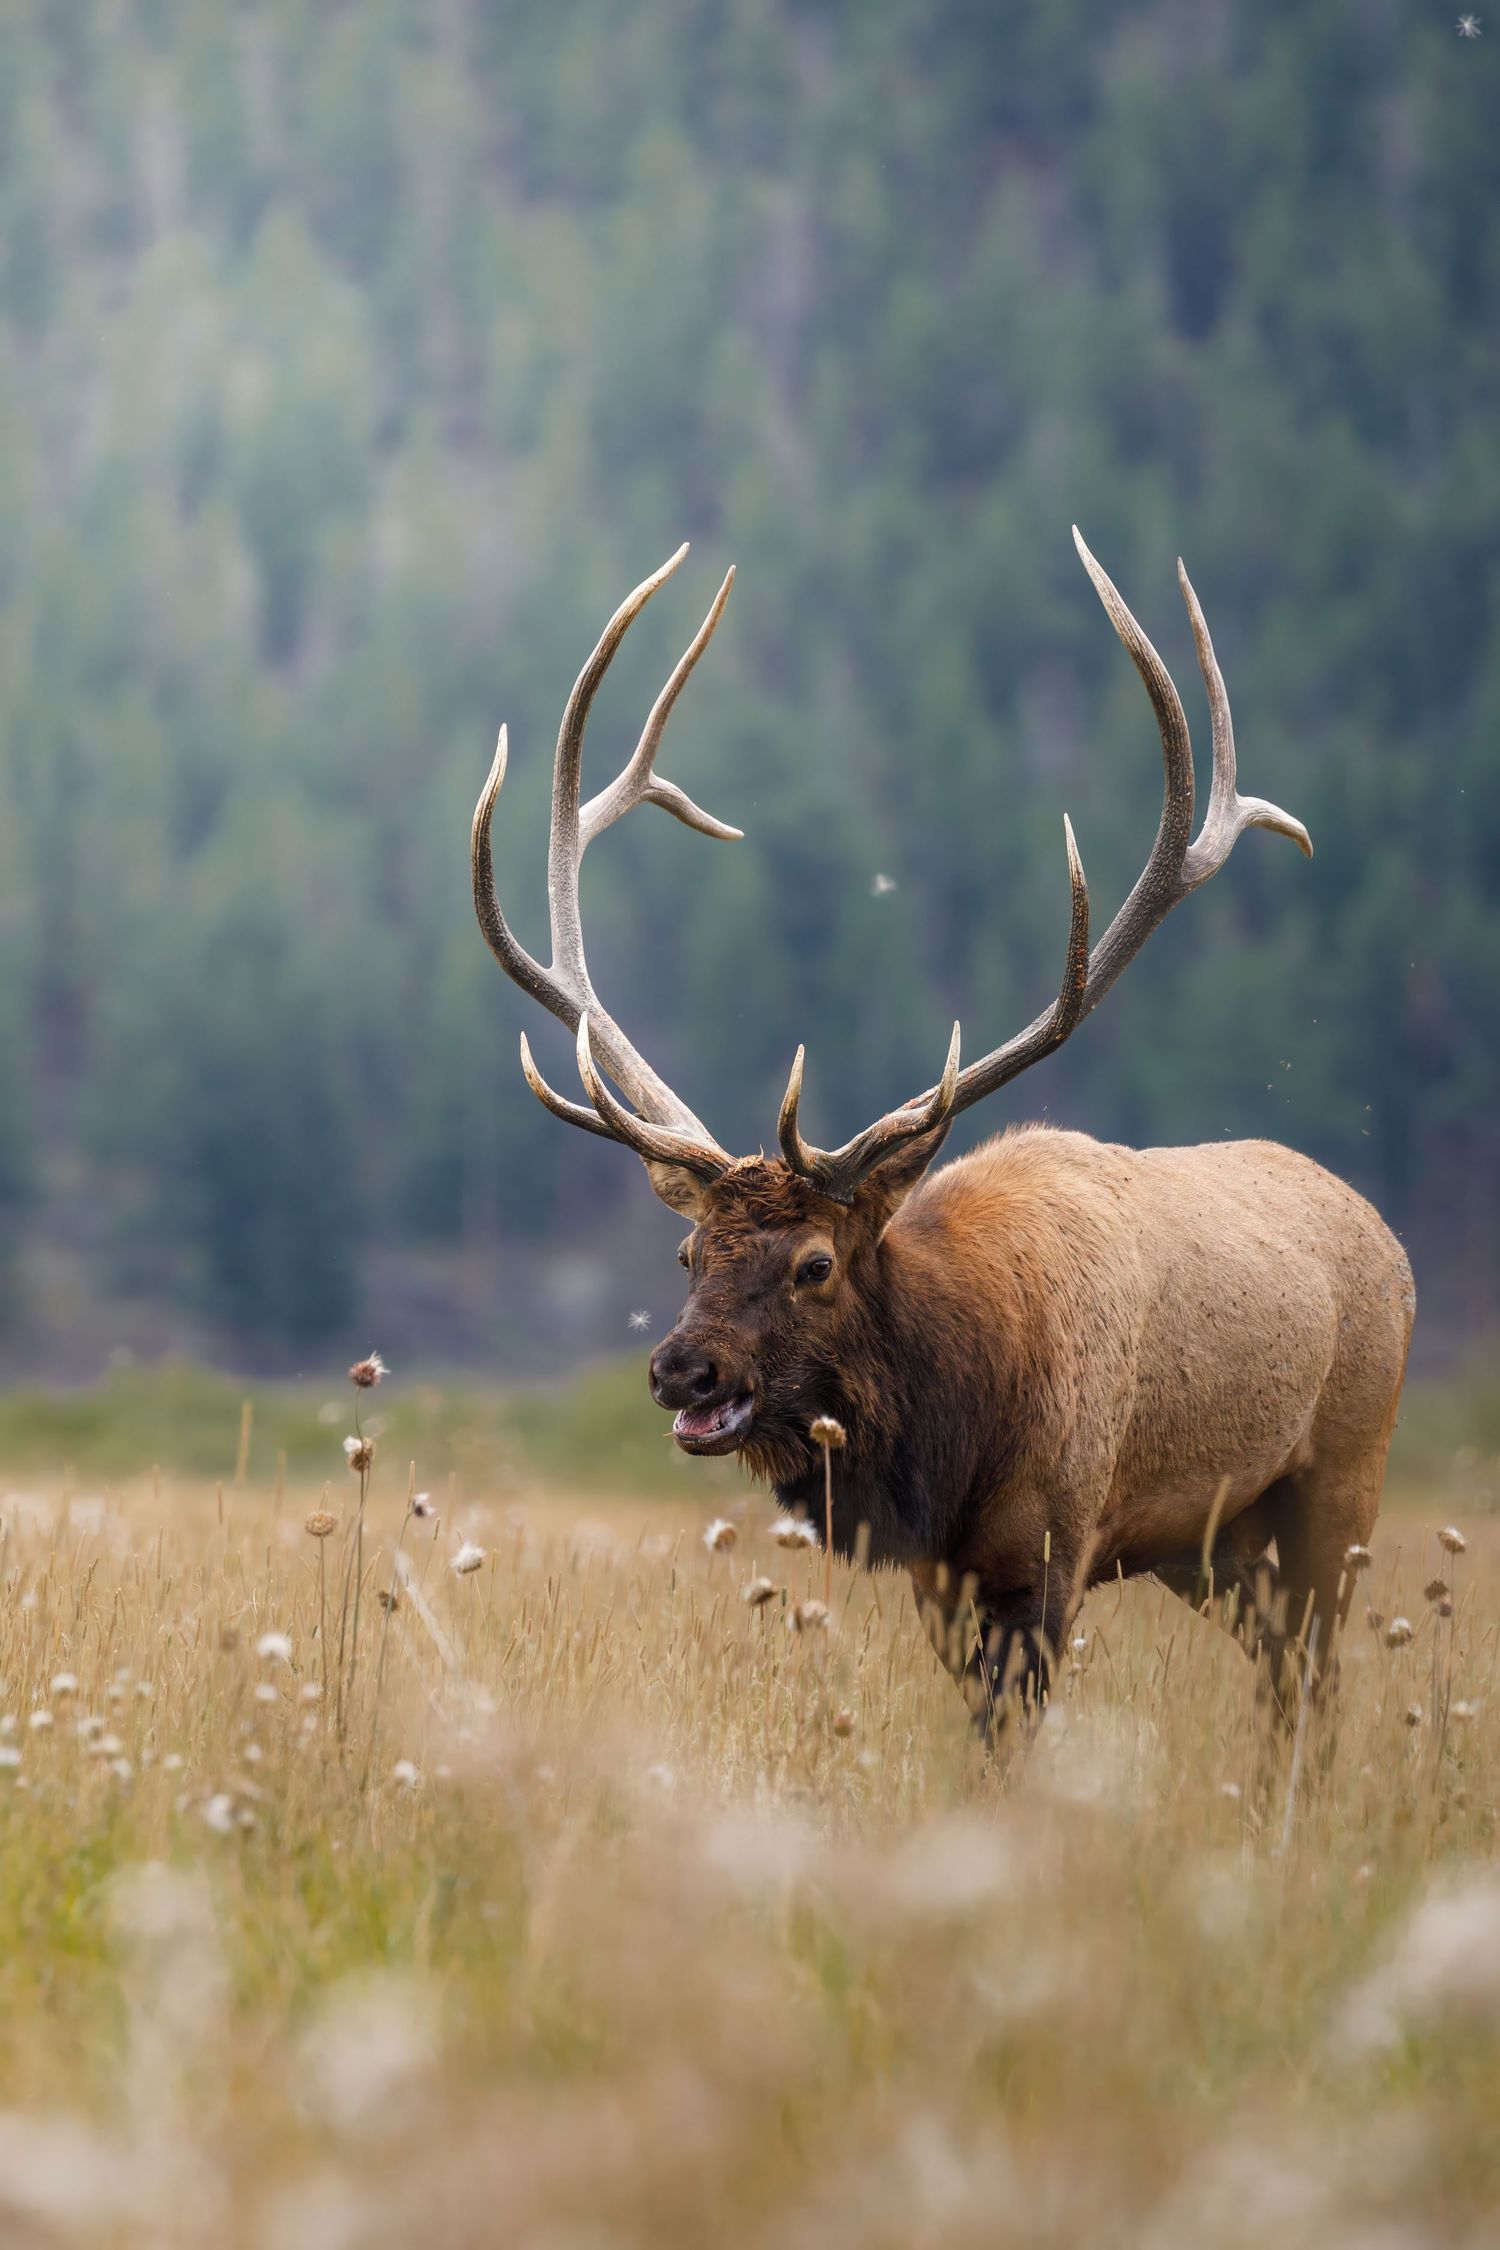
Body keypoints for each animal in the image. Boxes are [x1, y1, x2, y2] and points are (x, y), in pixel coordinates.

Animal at [471, 533, 1415, 1734]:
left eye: (816, 1264)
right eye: (687, 1253)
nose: (682, 1369)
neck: (955, 1434)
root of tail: (1388, 1240)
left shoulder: (1052, 1548)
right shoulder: (944, 1578)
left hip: (1341, 1478)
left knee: (1319, 1674)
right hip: (1213, 1547)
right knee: (1285, 1675)